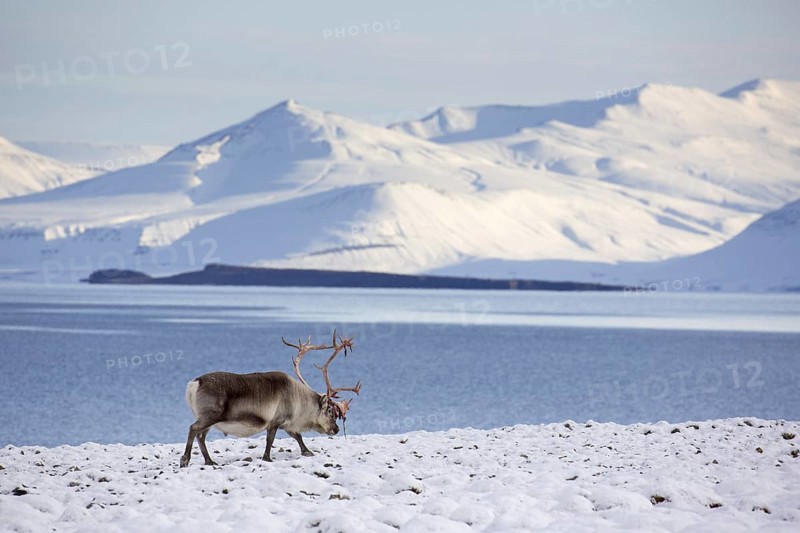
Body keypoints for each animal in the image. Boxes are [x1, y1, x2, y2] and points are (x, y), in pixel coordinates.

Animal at [179, 330, 362, 468]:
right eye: (330, 411)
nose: (336, 429)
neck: (299, 402)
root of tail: (194, 383)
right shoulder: (276, 420)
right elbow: (270, 440)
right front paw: (267, 458)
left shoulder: (288, 423)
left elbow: (298, 437)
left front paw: (307, 451)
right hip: (210, 415)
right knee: (193, 429)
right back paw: (185, 460)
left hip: (209, 419)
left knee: (201, 436)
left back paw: (209, 461)